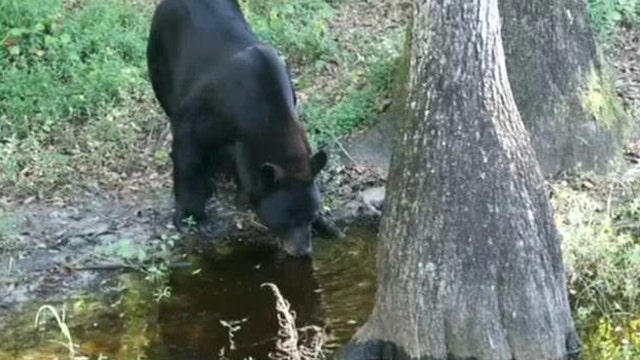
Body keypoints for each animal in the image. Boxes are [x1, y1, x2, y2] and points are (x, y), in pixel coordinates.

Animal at [148, 0, 332, 256]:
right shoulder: (204, 112)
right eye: (287, 221)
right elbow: (187, 151)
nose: (303, 250)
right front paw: (191, 217)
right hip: (160, 56)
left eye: (310, 215)